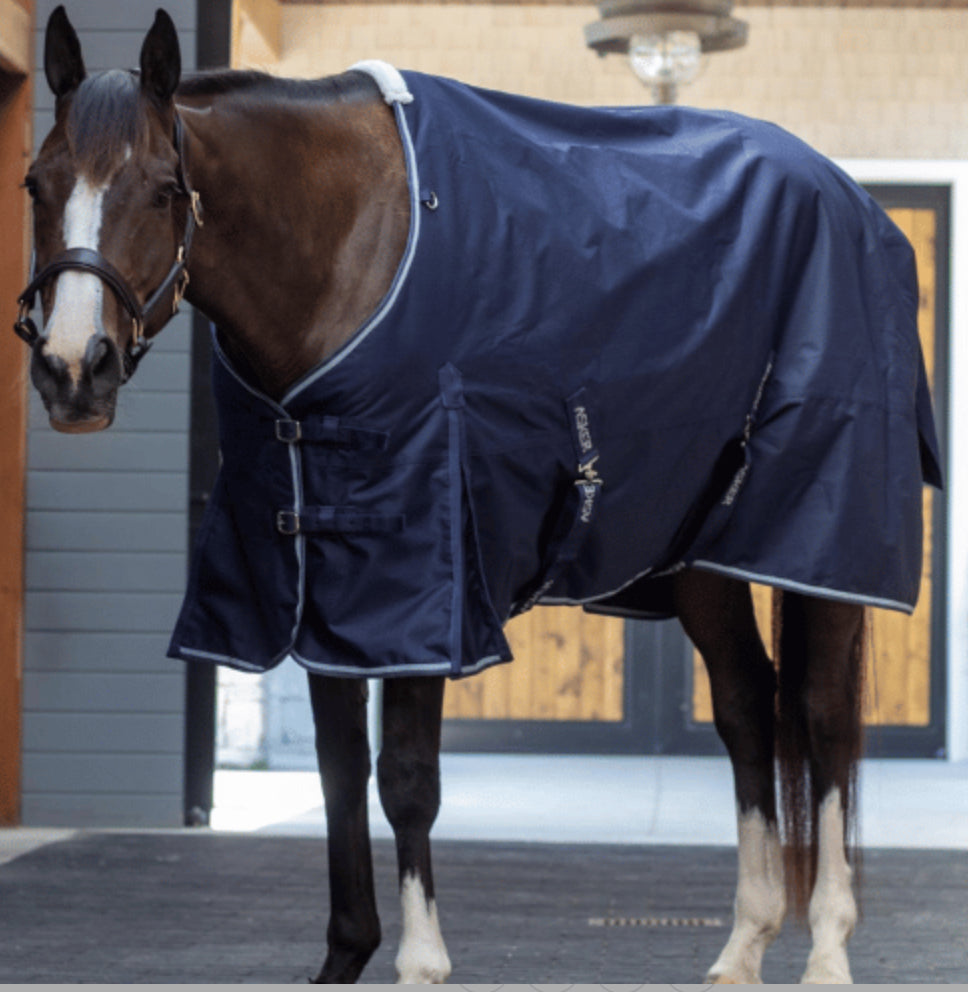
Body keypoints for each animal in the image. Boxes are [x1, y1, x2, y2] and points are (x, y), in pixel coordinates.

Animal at [17, 6, 939, 984]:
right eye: (37, 183)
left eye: (162, 190)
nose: (73, 371)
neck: (345, 252)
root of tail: (856, 204)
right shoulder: (320, 580)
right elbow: (340, 771)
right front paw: (346, 953)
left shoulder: (425, 578)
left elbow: (407, 777)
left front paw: (422, 960)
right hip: (700, 560)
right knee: (746, 708)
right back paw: (742, 945)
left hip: (823, 545)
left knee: (825, 718)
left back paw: (828, 947)